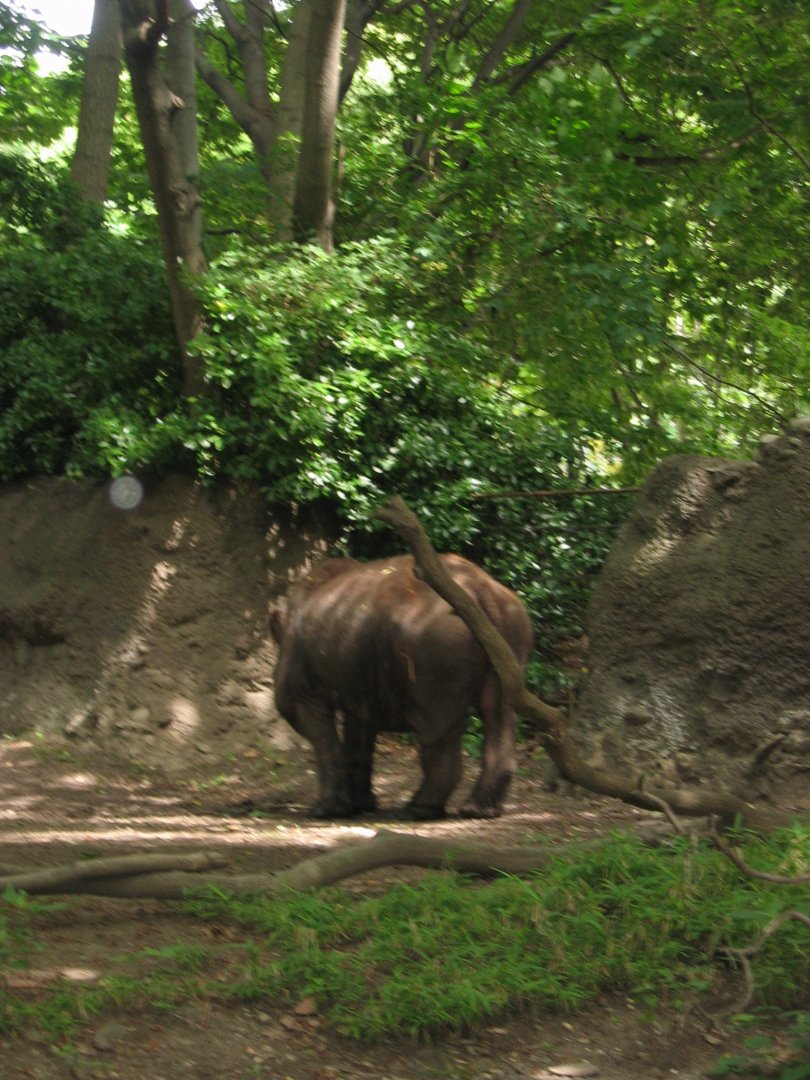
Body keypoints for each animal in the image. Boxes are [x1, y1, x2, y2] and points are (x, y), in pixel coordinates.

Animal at [270, 554, 533, 820]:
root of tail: (483, 591)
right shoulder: (360, 678)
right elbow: (359, 739)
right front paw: (360, 805)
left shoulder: (305, 692)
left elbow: (323, 741)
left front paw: (325, 810)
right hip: (509, 622)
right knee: (498, 709)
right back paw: (478, 811)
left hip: (433, 634)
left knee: (435, 719)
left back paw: (420, 809)